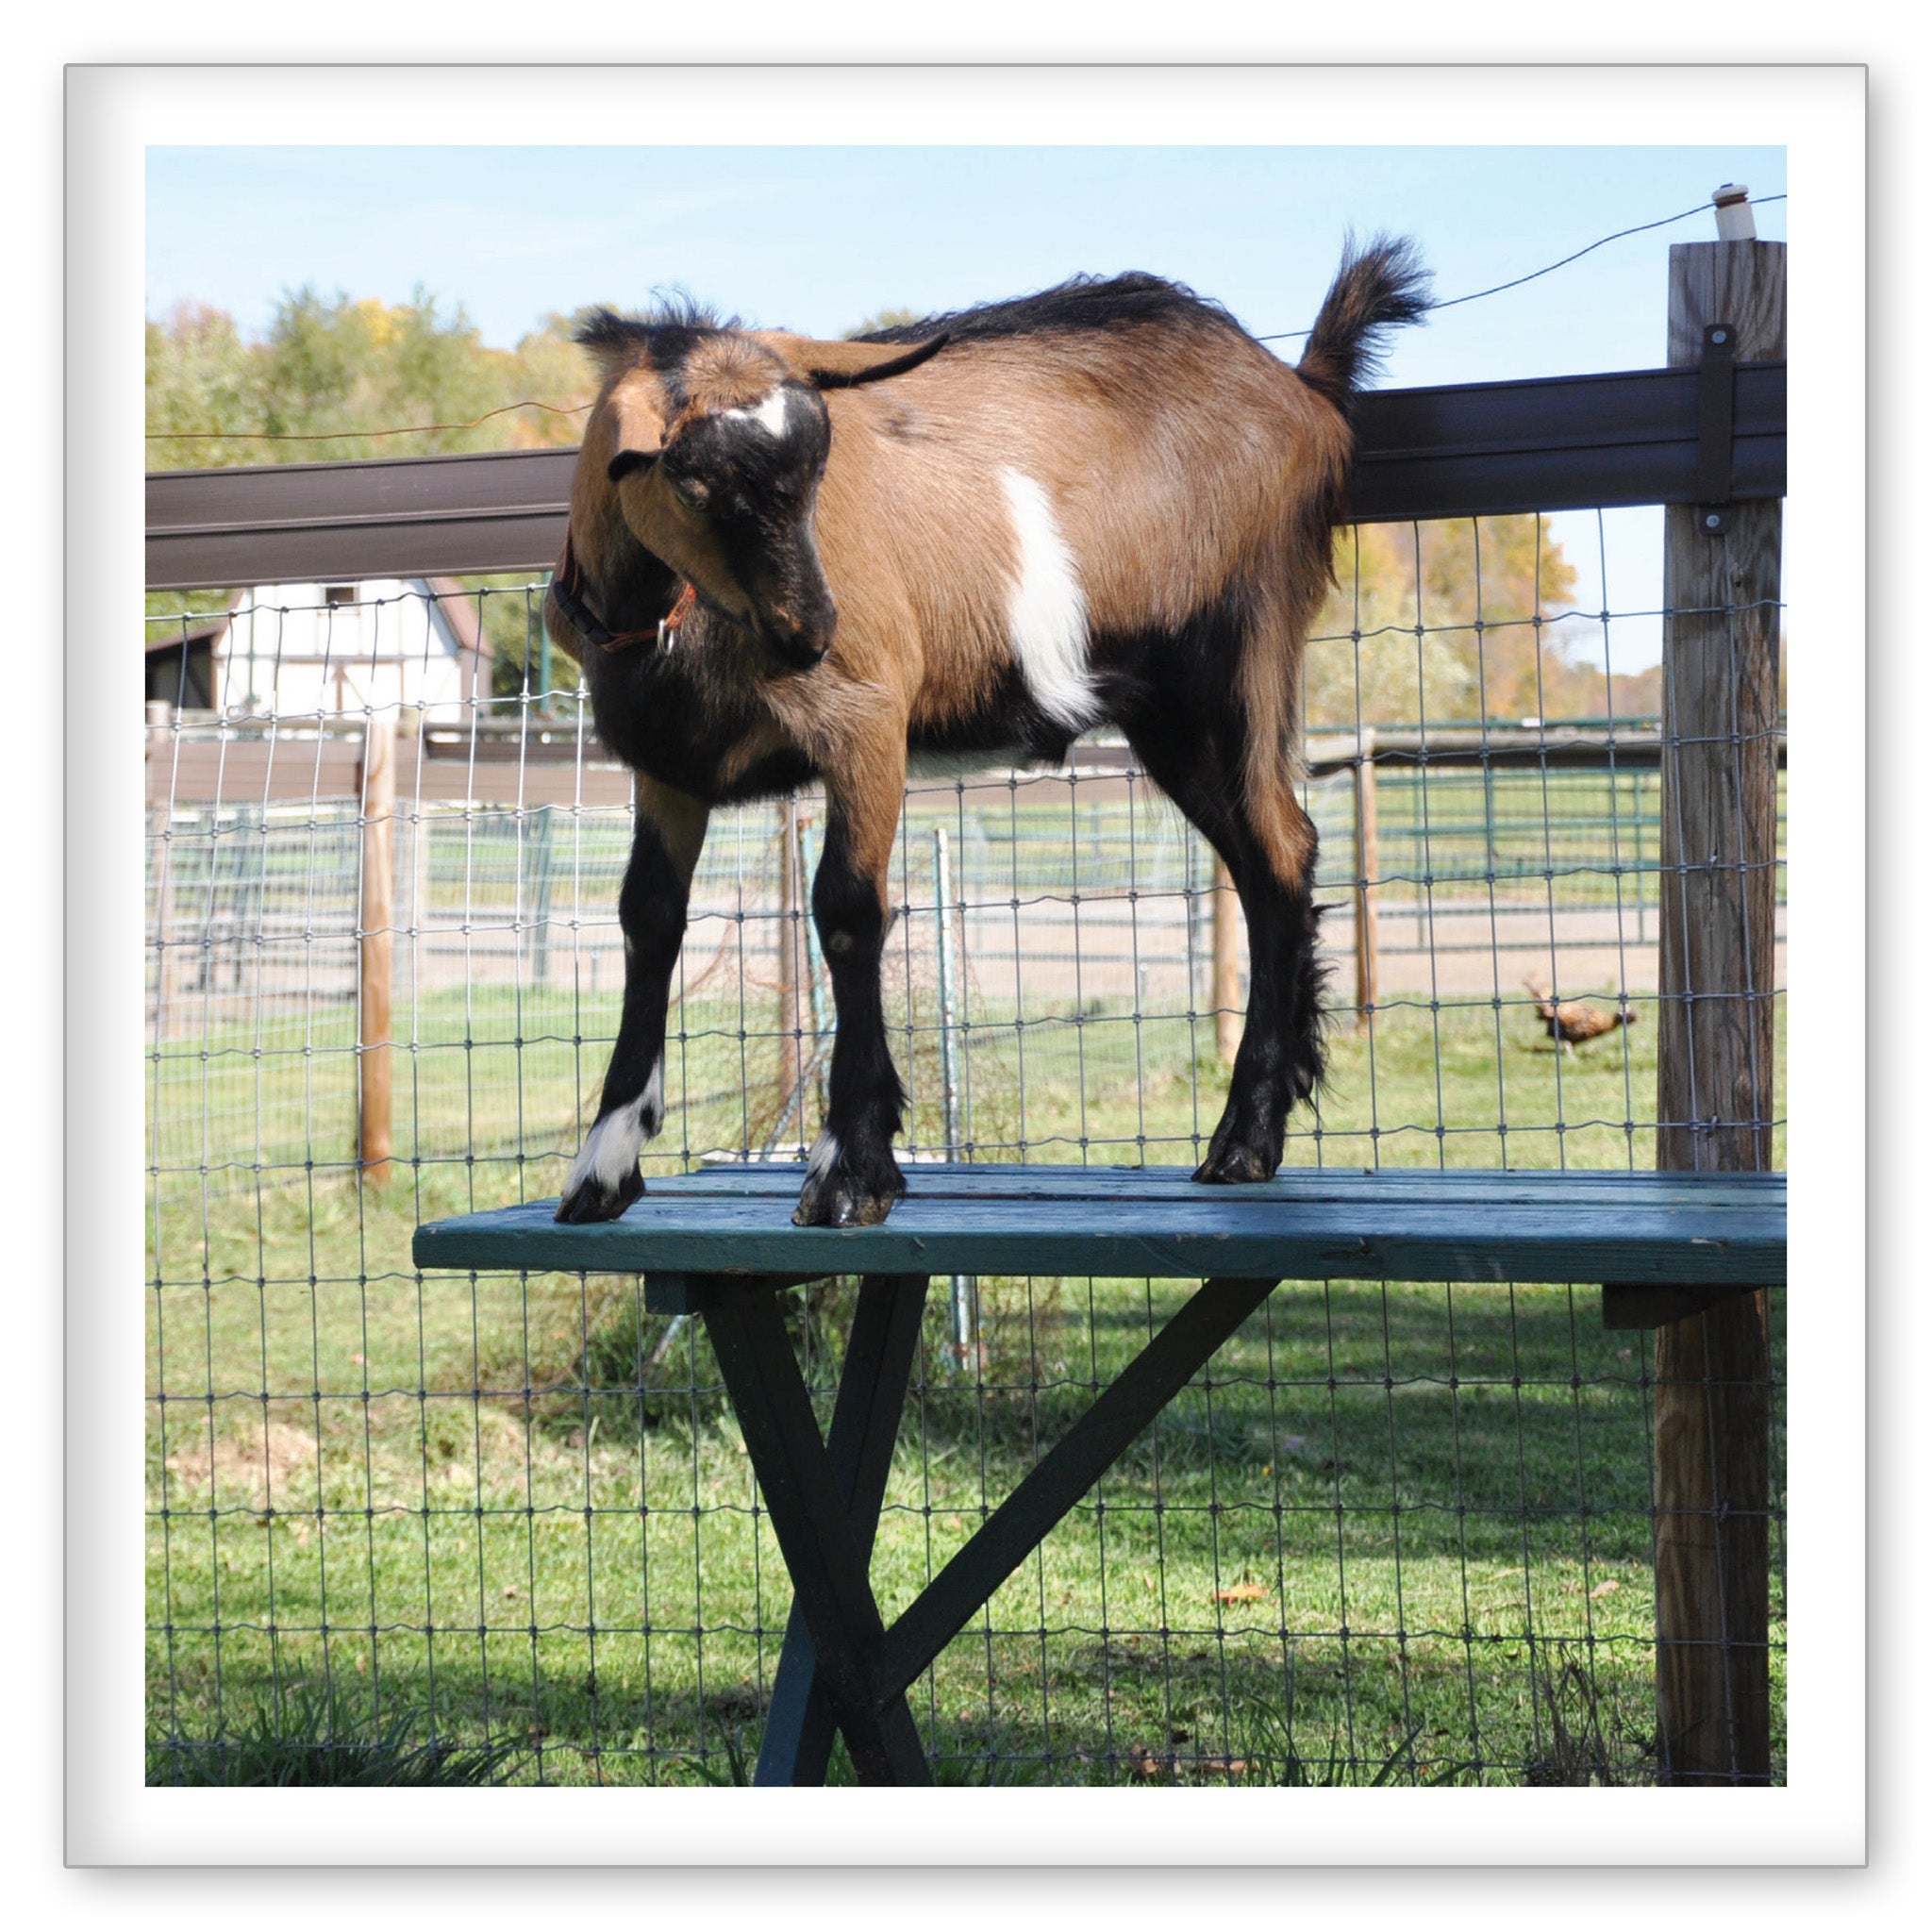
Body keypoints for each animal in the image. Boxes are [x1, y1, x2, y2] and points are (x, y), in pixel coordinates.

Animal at [544, 241, 1431, 1227]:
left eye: (819, 467)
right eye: (692, 480)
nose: (814, 631)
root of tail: (1303, 390)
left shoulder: (867, 721)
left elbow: (847, 910)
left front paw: (851, 1167)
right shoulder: (668, 768)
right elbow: (647, 920)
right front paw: (603, 1163)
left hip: (1248, 645)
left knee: (1279, 851)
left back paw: (1244, 1138)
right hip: (1168, 711)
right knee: (1269, 862)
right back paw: (1249, 1139)